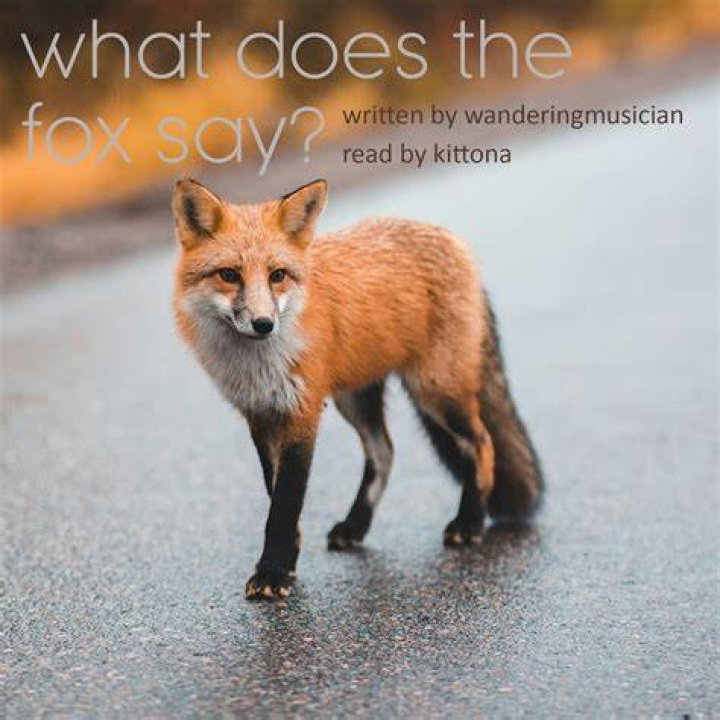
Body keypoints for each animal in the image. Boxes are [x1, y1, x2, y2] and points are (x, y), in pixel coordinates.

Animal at [172, 177, 543, 601]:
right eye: (229, 275)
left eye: (277, 275)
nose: (264, 324)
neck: (258, 364)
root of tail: (451, 238)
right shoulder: (260, 414)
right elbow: (275, 494)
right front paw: (288, 560)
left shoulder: (303, 411)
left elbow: (285, 503)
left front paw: (273, 572)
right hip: (356, 399)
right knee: (384, 452)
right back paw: (356, 525)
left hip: (435, 390)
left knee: (481, 443)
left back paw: (469, 522)